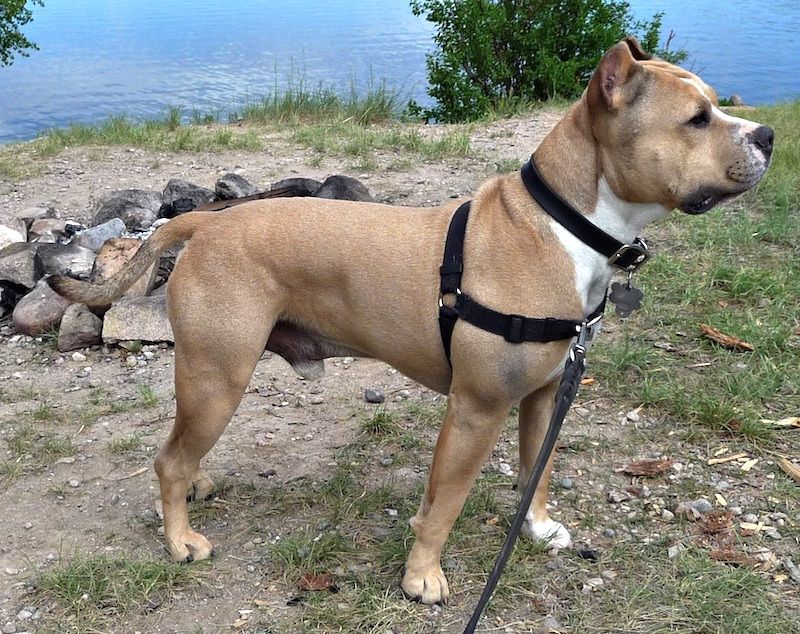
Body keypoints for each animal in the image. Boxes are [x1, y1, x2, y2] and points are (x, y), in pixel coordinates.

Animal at [47, 38, 772, 604]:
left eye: (715, 106)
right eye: (697, 119)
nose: (767, 135)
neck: (561, 224)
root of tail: (205, 221)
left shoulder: (543, 397)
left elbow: (534, 470)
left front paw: (536, 529)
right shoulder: (477, 409)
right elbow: (443, 504)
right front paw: (422, 577)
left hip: (209, 381)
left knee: (181, 451)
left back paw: (196, 484)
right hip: (218, 375)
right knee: (167, 460)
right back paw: (181, 541)